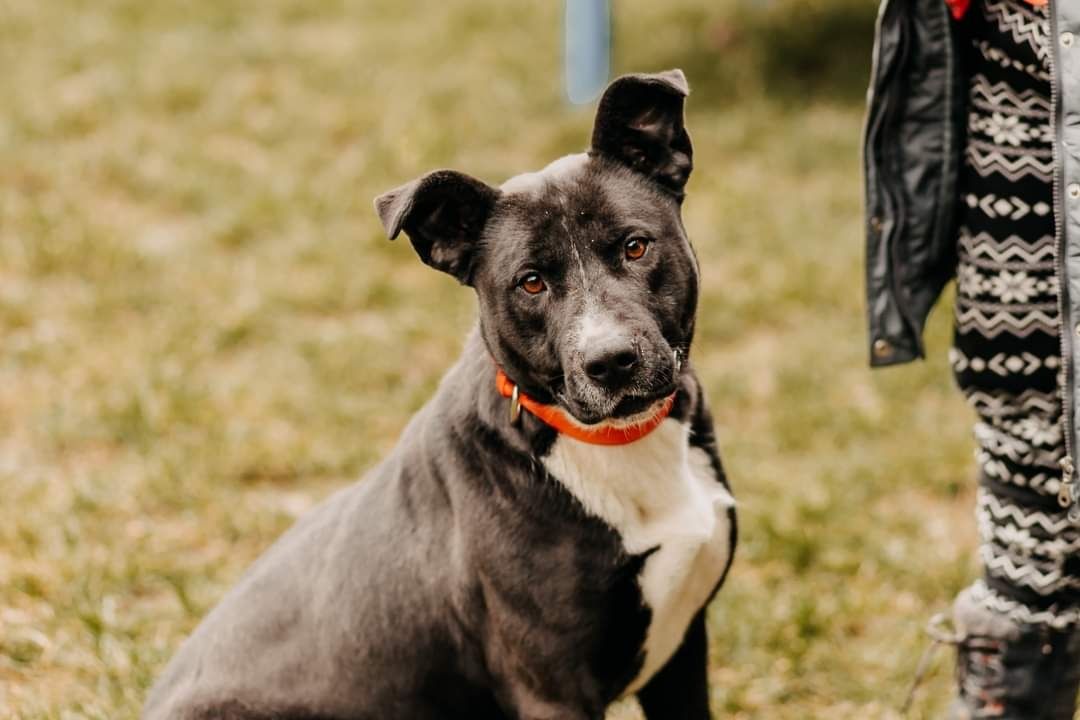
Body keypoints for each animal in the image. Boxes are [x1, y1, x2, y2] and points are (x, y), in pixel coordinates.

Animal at [143, 69, 734, 720]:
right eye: (531, 283)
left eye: (635, 246)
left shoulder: (683, 656)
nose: (609, 362)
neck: (614, 445)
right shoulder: (553, 689)